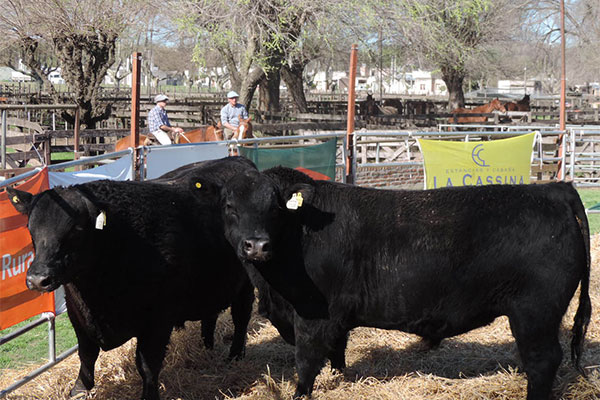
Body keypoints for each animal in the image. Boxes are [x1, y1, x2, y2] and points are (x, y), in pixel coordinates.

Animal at [6, 157, 257, 400]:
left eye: (76, 229)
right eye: (30, 228)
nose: (38, 278)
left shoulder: (158, 319)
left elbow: (147, 365)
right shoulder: (78, 314)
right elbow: (86, 354)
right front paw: (79, 389)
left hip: (246, 282)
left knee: (241, 317)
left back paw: (235, 355)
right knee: (210, 315)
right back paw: (207, 347)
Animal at [220, 166, 591, 400]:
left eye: (276, 208)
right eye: (229, 206)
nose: (256, 245)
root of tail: (554, 189)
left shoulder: (312, 313)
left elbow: (306, 359)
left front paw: (300, 393)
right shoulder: (334, 315)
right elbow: (337, 349)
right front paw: (340, 376)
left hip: (535, 312)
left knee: (542, 361)